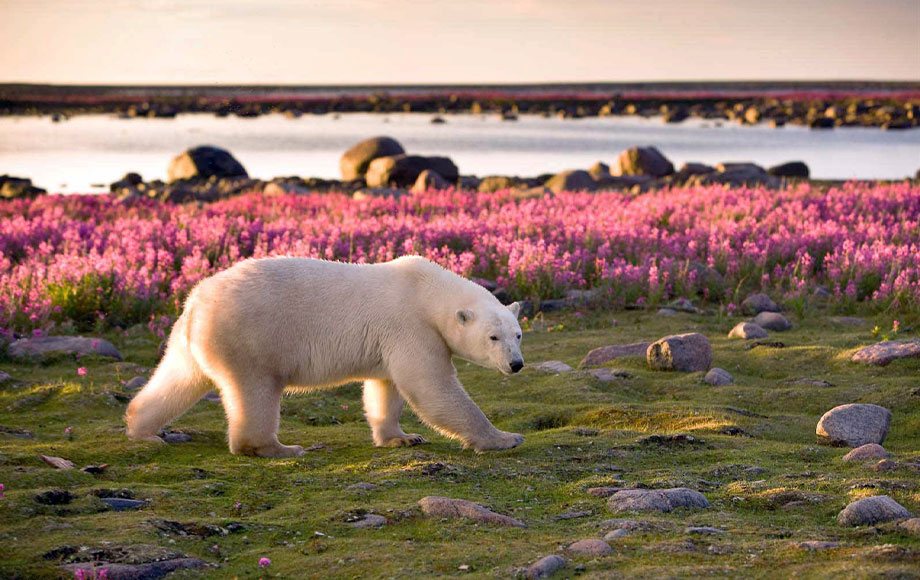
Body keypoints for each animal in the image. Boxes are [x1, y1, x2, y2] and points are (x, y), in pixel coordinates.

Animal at [124, 256, 524, 456]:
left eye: (518, 334)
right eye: (493, 337)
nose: (516, 364)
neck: (427, 291)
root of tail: (195, 303)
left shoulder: (393, 338)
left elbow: (386, 387)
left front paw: (400, 437)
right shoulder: (411, 326)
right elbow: (431, 386)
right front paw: (504, 438)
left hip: (190, 341)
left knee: (178, 378)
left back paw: (143, 429)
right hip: (249, 339)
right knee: (255, 392)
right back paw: (277, 448)